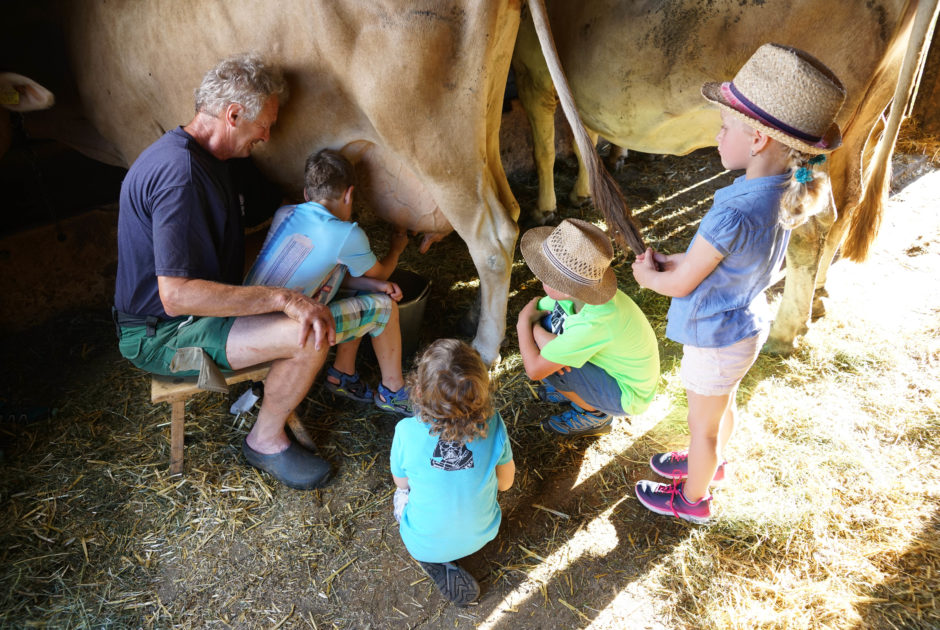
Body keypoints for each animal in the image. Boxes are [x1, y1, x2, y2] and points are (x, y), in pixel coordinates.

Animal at [516, 0, 940, 356]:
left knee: (810, 229)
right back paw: (817, 298)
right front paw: (583, 189)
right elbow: (583, 136)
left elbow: (545, 147)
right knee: (846, 202)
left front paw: (545, 207)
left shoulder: (534, 73)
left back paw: (785, 333)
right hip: (865, 116)